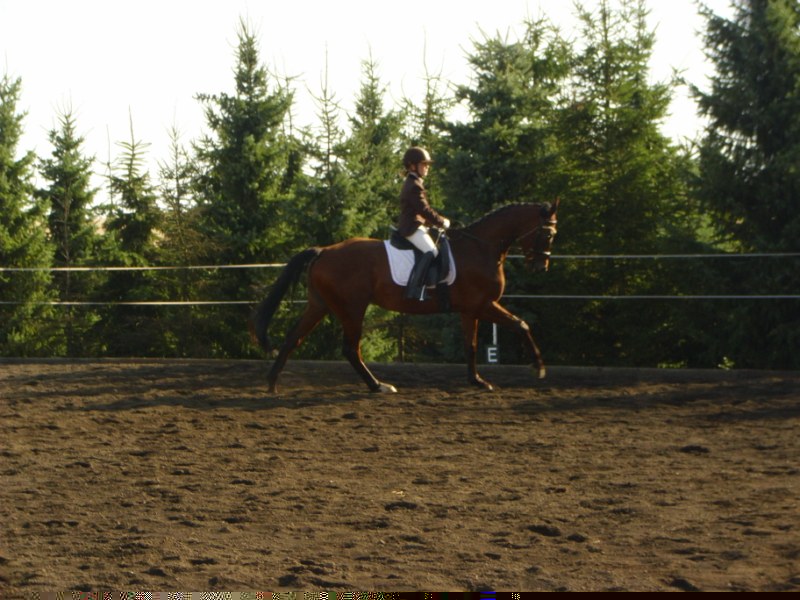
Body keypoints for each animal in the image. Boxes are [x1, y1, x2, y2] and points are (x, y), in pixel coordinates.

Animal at [252, 200, 559, 393]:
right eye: (548, 234)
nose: (540, 266)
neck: (480, 248)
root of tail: (324, 251)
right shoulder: (483, 305)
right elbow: (521, 324)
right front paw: (539, 368)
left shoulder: (469, 310)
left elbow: (470, 346)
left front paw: (478, 382)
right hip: (352, 309)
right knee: (350, 349)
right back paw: (378, 386)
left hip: (321, 305)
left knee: (294, 338)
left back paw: (272, 383)